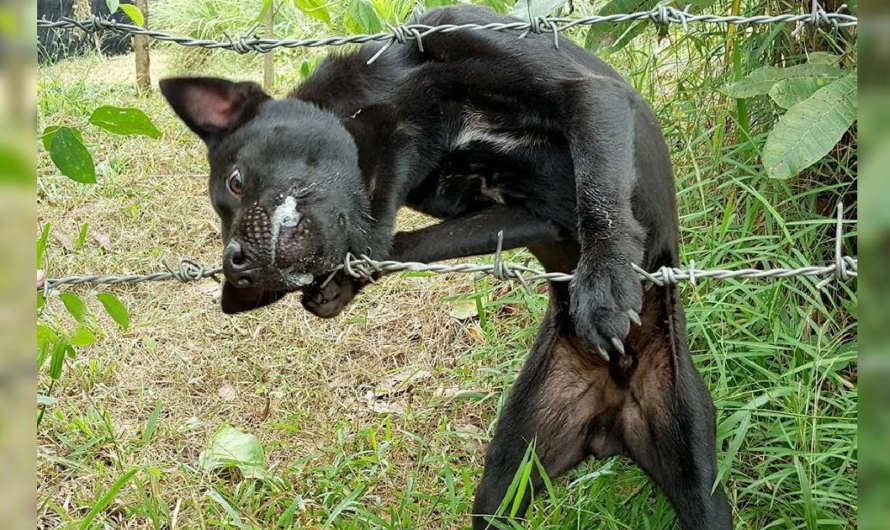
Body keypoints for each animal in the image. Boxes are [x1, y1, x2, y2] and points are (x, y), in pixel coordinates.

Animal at [160, 6, 728, 524]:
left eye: (235, 181)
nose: (237, 266)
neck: (410, 107)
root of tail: (613, 413)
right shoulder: (527, 215)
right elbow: (413, 243)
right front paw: (343, 283)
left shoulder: (586, 94)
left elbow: (599, 193)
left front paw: (606, 278)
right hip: (508, 472)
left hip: (700, 477)